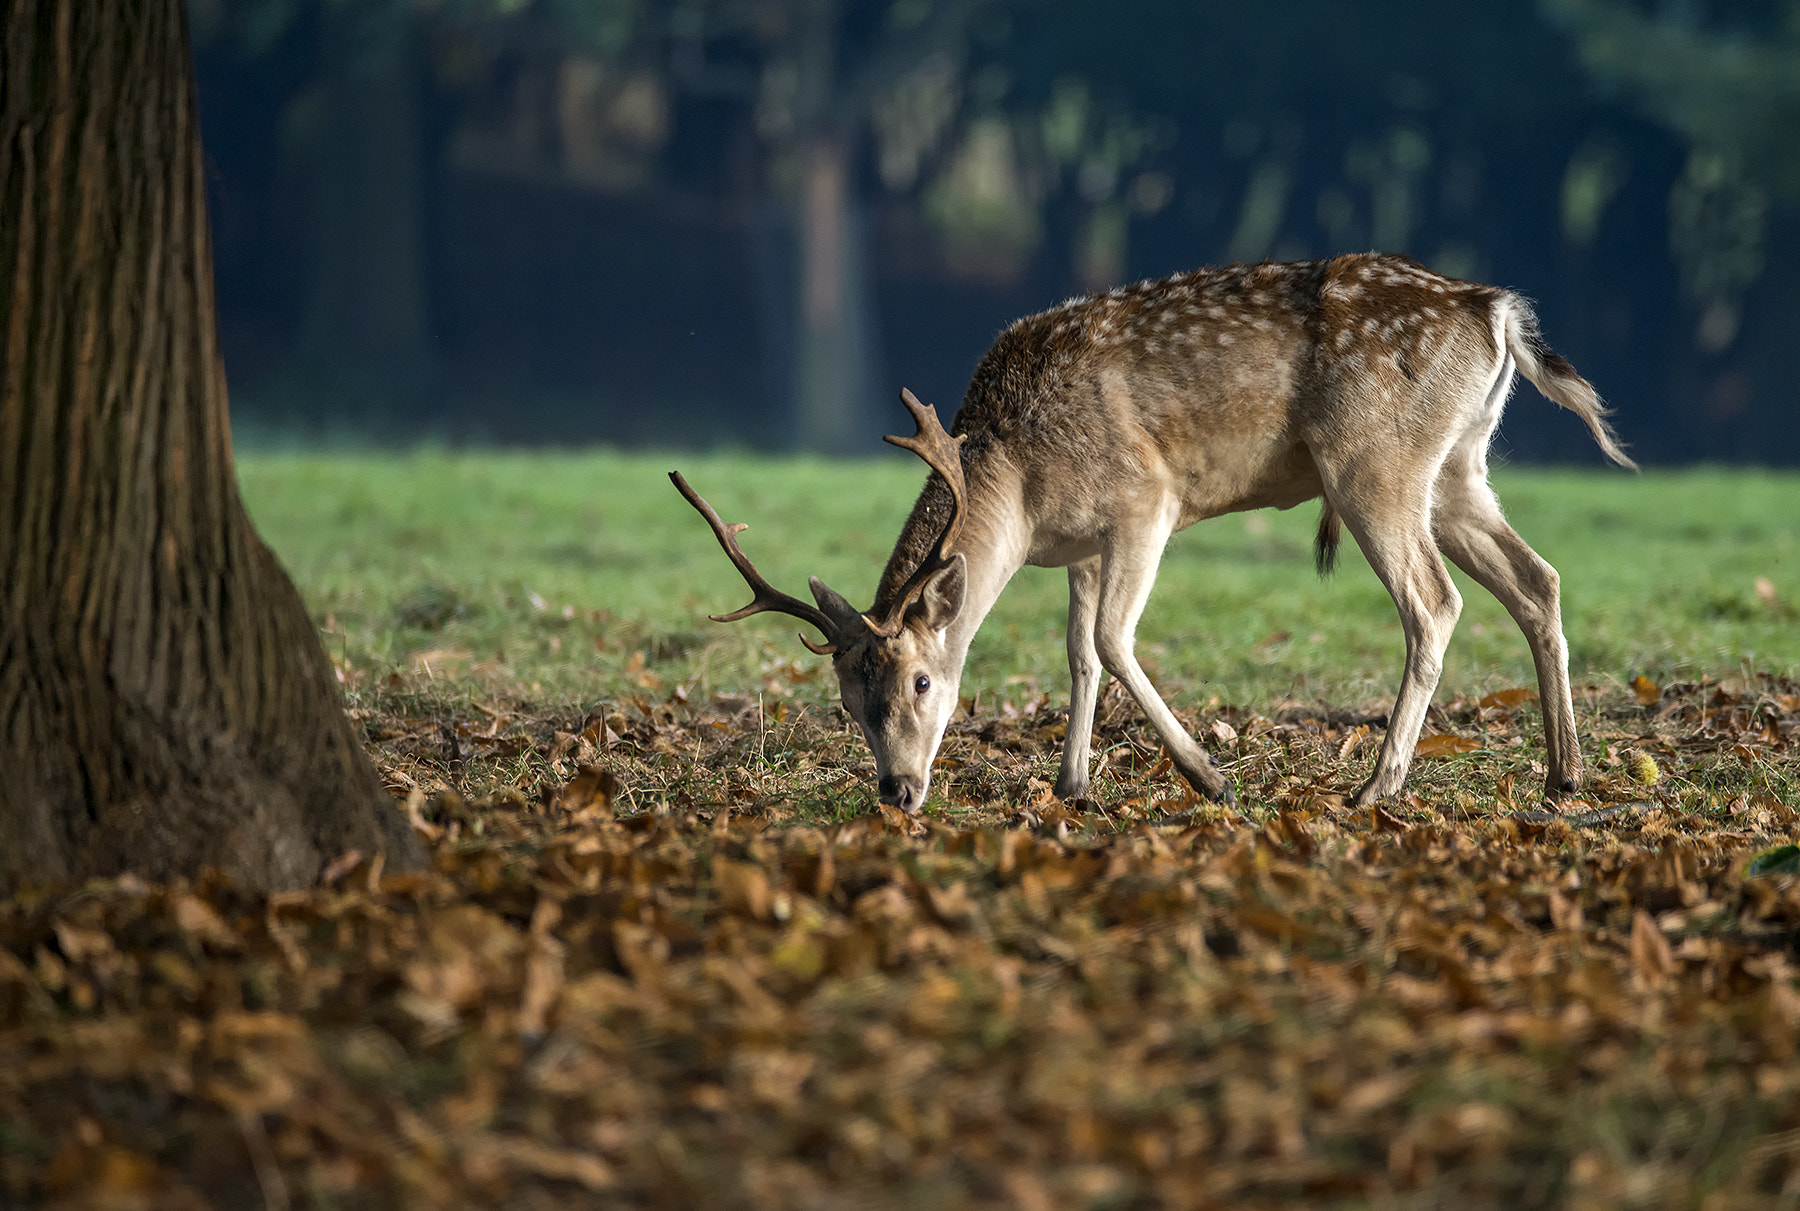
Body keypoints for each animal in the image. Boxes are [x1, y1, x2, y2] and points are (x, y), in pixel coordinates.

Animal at [671, 253, 1634, 815]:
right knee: (1539, 579)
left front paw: (1211, 776)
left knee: (1435, 603)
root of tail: (1497, 311)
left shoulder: (1146, 500)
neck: (1020, 486)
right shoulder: (1082, 545)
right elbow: (1077, 652)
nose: (898, 791)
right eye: (845, 698)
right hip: (1459, 467)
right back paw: (1564, 774)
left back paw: (1375, 785)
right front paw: (1073, 785)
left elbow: (1109, 637)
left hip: (1376, 463)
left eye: (919, 680)